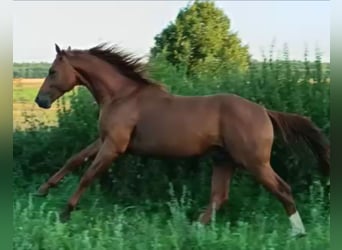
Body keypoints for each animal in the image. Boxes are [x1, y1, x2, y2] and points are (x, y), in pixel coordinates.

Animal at [34, 43, 328, 236]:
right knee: (219, 197)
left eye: (52, 71)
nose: (40, 101)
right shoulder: (104, 140)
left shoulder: (114, 147)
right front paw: (42, 190)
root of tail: (265, 112)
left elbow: (87, 175)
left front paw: (64, 212)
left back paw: (298, 232)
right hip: (224, 160)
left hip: (254, 162)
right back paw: (193, 228)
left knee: (283, 189)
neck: (122, 96)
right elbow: (74, 160)